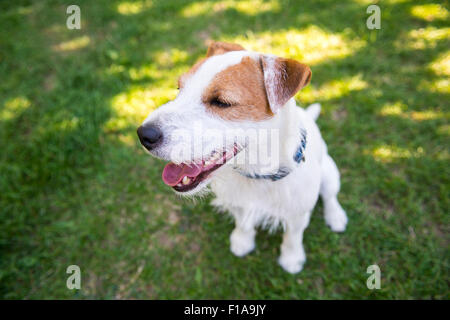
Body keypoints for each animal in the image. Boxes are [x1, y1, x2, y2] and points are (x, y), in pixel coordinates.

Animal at [137, 41, 348, 274]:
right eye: (179, 89)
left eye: (221, 102)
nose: (144, 135)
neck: (257, 176)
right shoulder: (237, 203)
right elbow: (243, 224)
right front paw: (242, 242)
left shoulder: (297, 214)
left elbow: (292, 237)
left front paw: (292, 259)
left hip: (329, 172)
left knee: (330, 196)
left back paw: (336, 216)